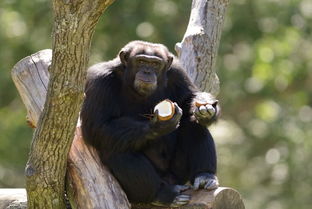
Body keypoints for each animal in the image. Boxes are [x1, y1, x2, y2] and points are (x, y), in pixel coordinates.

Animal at [81, 40, 221, 207]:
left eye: (155, 64)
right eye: (141, 61)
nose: (147, 71)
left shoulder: (177, 72)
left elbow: (188, 99)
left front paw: (206, 107)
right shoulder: (99, 80)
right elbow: (97, 126)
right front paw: (157, 127)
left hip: (178, 174)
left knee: (193, 125)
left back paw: (205, 175)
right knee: (116, 148)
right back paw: (164, 194)